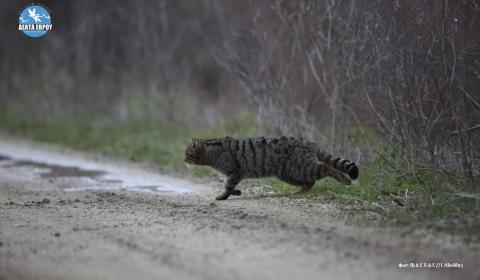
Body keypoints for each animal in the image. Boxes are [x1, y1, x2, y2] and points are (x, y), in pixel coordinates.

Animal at [186, 136, 358, 199]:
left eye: (188, 153)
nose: (183, 159)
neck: (213, 151)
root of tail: (311, 142)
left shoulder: (235, 172)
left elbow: (227, 186)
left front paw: (223, 196)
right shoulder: (234, 175)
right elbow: (229, 186)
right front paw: (236, 192)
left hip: (302, 168)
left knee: (327, 167)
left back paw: (345, 180)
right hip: (288, 174)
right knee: (310, 182)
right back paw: (299, 191)